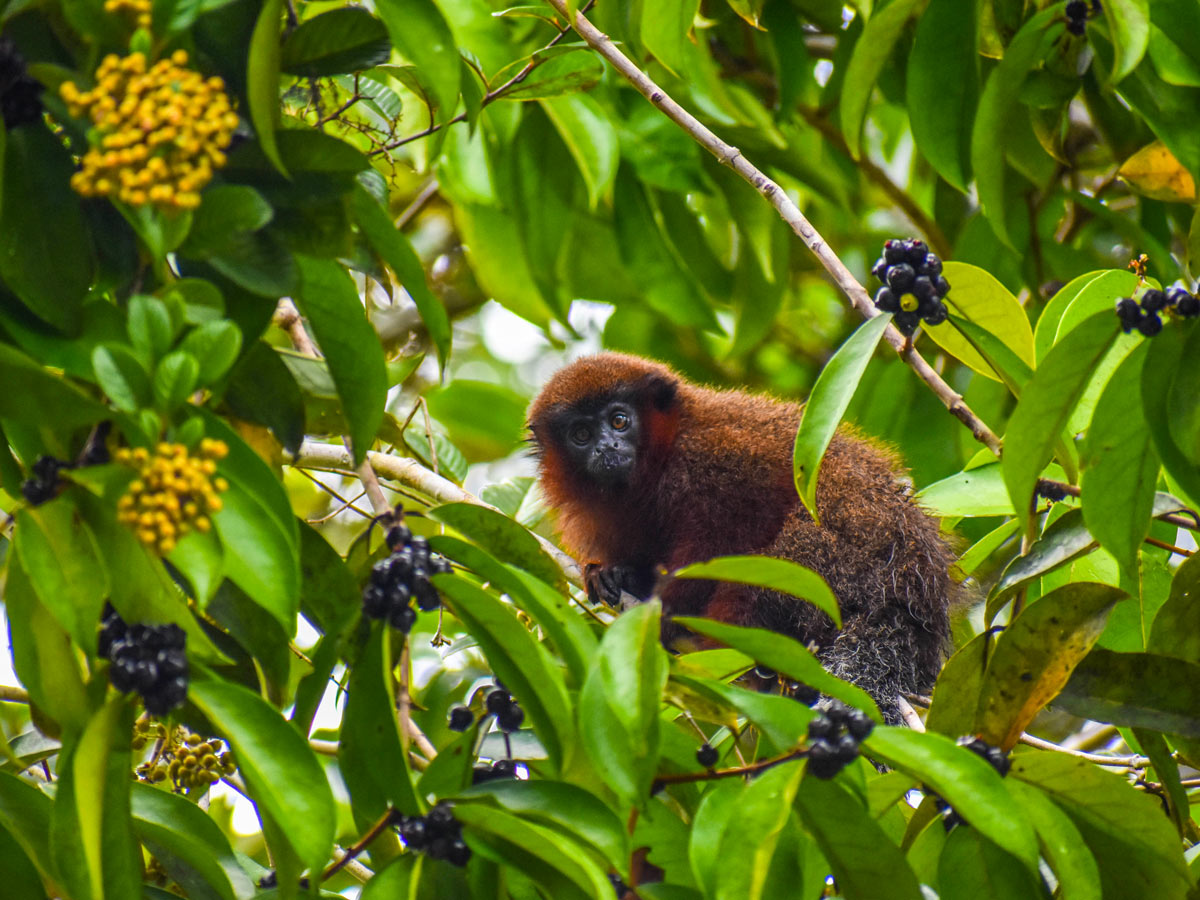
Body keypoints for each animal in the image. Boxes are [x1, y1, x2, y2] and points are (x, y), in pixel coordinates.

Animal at [528, 352, 955, 724]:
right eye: (581, 433)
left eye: (619, 421)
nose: (606, 447)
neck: (662, 458)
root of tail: (919, 597)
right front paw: (614, 573)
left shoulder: (716, 459)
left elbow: (725, 535)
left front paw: (665, 609)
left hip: (856, 559)